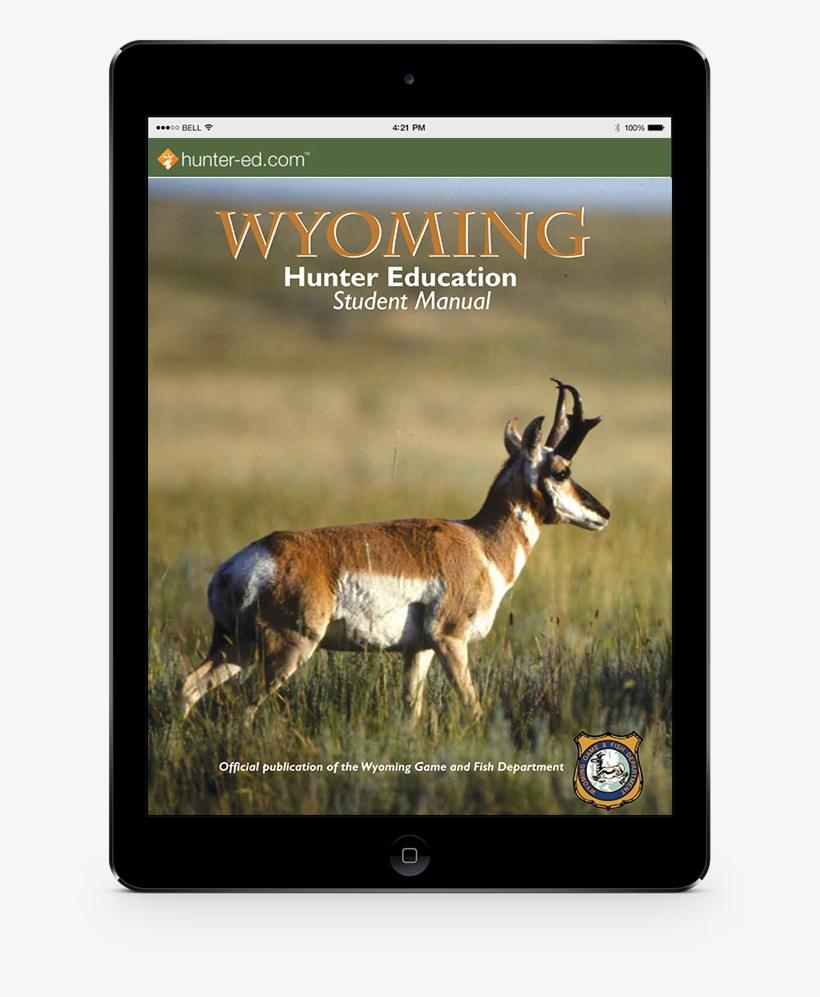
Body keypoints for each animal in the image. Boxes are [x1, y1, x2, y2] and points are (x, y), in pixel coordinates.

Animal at [180, 379, 610, 726]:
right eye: (562, 471)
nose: (603, 513)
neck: (479, 543)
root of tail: (234, 568)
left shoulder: (417, 651)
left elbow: (411, 712)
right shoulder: (449, 640)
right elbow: (472, 706)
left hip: (238, 646)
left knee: (190, 685)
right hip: (287, 648)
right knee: (244, 706)